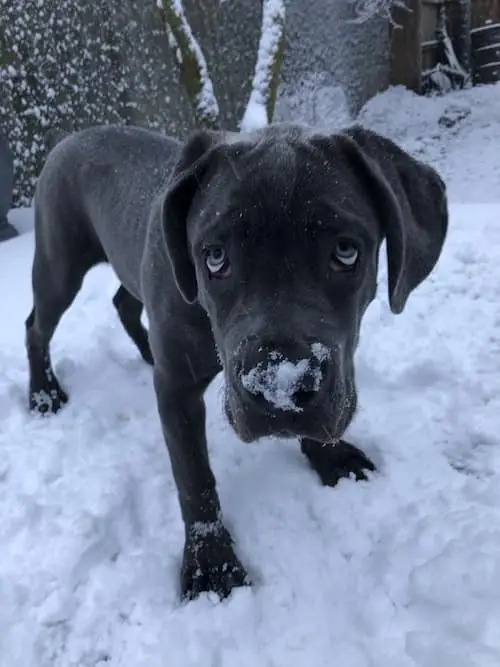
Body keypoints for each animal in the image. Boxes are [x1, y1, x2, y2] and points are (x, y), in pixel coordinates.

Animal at [25, 122, 448, 604]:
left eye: (345, 251)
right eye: (214, 256)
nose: (280, 387)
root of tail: (71, 137)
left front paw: (332, 457)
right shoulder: (177, 391)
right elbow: (193, 476)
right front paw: (211, 563)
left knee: (122, 302)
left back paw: (145, 352)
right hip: (59, 263)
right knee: (36, 326)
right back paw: (44, 394)